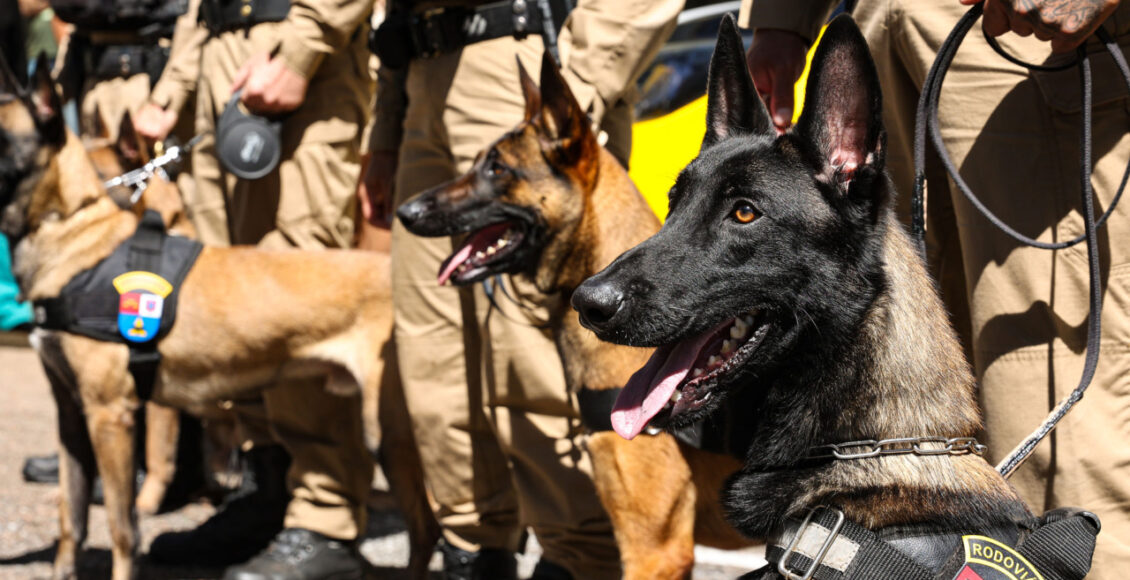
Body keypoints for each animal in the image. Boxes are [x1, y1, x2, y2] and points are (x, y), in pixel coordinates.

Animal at [1, 56, 436, 576]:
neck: (74, 234)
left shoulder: (111, 414)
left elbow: (124, 527)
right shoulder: (70, 413)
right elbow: (73, 516)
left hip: (391, 431)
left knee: (428, 527)